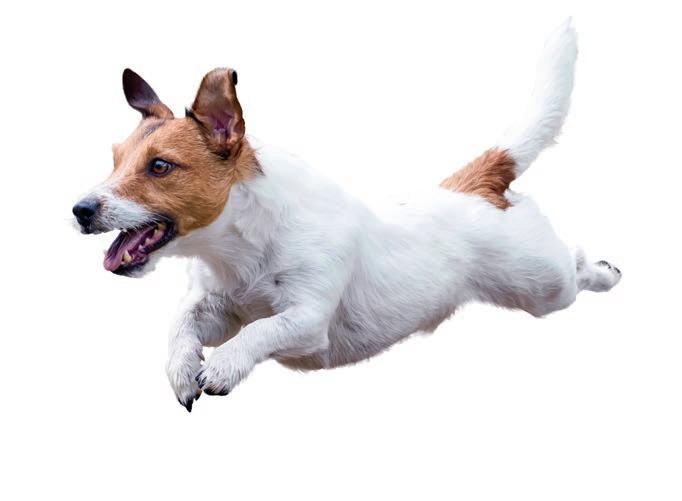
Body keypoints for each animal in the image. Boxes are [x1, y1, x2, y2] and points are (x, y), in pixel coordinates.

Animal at [73, 19, 621, 412]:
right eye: (115, 158)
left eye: (160, 166)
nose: (79, 210)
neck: (238, 250)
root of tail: (475, 186)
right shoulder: (217, 308)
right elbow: (182, 325)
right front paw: (182, 369)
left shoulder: (307, 316)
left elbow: (261, 330)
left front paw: (224, 367)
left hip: (542, 284)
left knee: (573, 265)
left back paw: (604, 273)